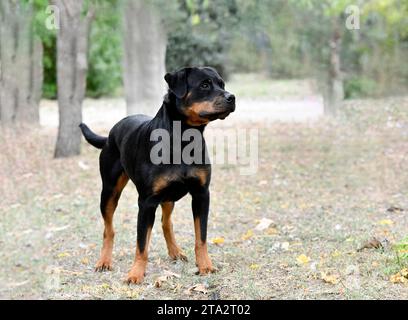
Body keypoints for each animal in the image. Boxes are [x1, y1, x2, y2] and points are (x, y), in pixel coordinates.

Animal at [79, 66, 236, 284]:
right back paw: (104, 261)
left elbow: (201, 237)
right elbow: (141, 244)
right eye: (205, 85)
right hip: (109, 191)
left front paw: (205, 266)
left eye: (222, 84)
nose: (232, 97)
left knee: (166, 222)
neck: (182, 140)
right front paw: (135, 274)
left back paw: (175, 251)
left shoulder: (201, 194)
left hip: (168, 196)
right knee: (108, 229)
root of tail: (111, 133)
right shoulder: (147, 201)